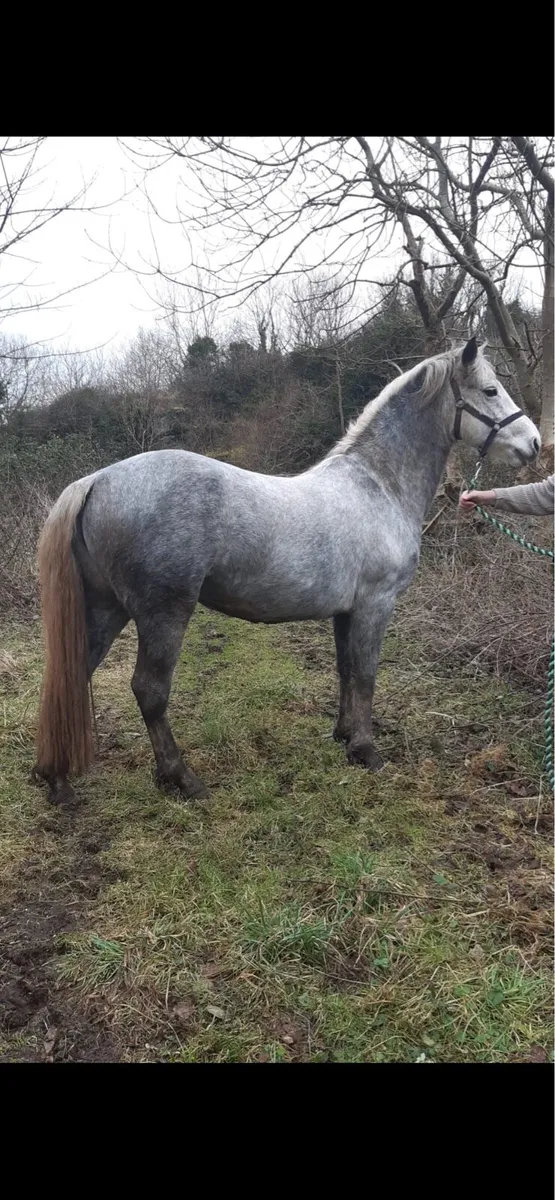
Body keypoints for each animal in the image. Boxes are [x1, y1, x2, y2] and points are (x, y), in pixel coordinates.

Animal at [34, 337, 541, 806]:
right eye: (491, 390)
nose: (533, 444)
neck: (378, 484)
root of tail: (96, 480)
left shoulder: (347, 610)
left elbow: (345, 669)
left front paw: (344, 737)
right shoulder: (376, 604)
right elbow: (366, 673)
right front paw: (367, 751)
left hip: (106, 609)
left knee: (73, 676)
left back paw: (55, 778)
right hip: (163, 614)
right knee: (150, 691)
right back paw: (181, 778)